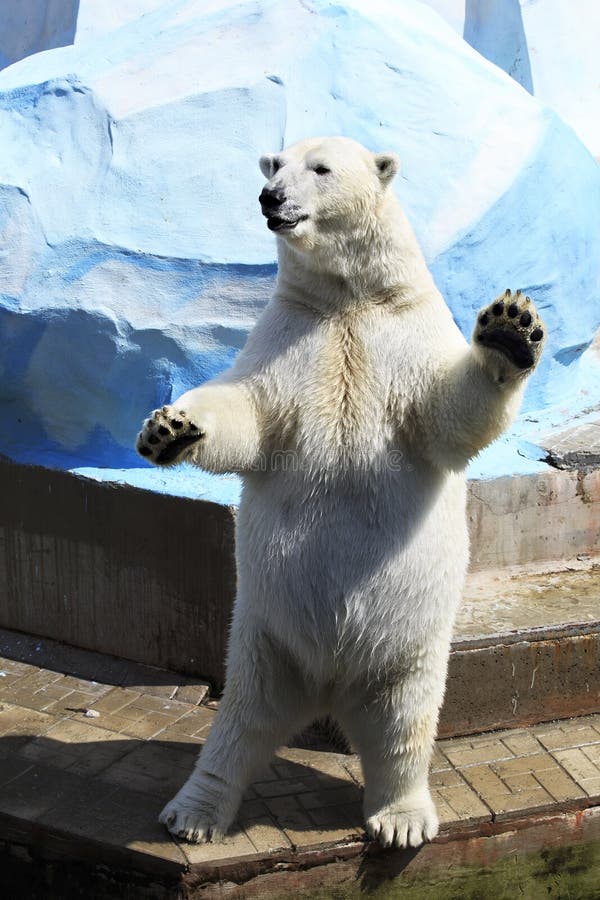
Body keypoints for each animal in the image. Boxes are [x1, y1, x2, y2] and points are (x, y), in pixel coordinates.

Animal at [135, 137, 544, 848]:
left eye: (320, 169)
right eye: (275, 165)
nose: (271, 198)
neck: (349, 298)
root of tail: (327, 690)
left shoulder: (403, 331)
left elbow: (447, 417)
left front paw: (508, 330)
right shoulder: (290, 334)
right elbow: (248, 413)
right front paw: (170, 428)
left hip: (409, 647)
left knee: (404, 724)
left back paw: (401, 820)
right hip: (261, 633)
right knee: (239, 723)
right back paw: (193, 813)